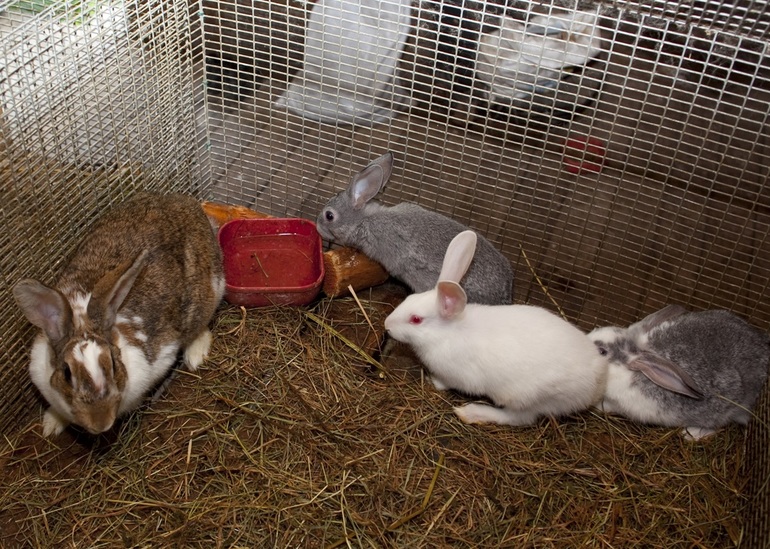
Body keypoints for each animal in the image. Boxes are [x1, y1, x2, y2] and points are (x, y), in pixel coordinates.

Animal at [12, 192, 225, 437]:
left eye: (114, 364)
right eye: (66, 373)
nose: (100, 423)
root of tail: (188, 204)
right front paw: (50, 425)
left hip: (208, 294)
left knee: (201, 326)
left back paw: (195, 356)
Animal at [383, 230, 607, 426]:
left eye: (416, 319)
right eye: (409, 298)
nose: (386, 325)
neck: (446, 333)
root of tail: (598, 382)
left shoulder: (458, 376)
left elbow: (447, 383)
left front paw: (433, 381)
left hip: (527, 397)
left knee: (518, 419)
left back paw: (472, 412)